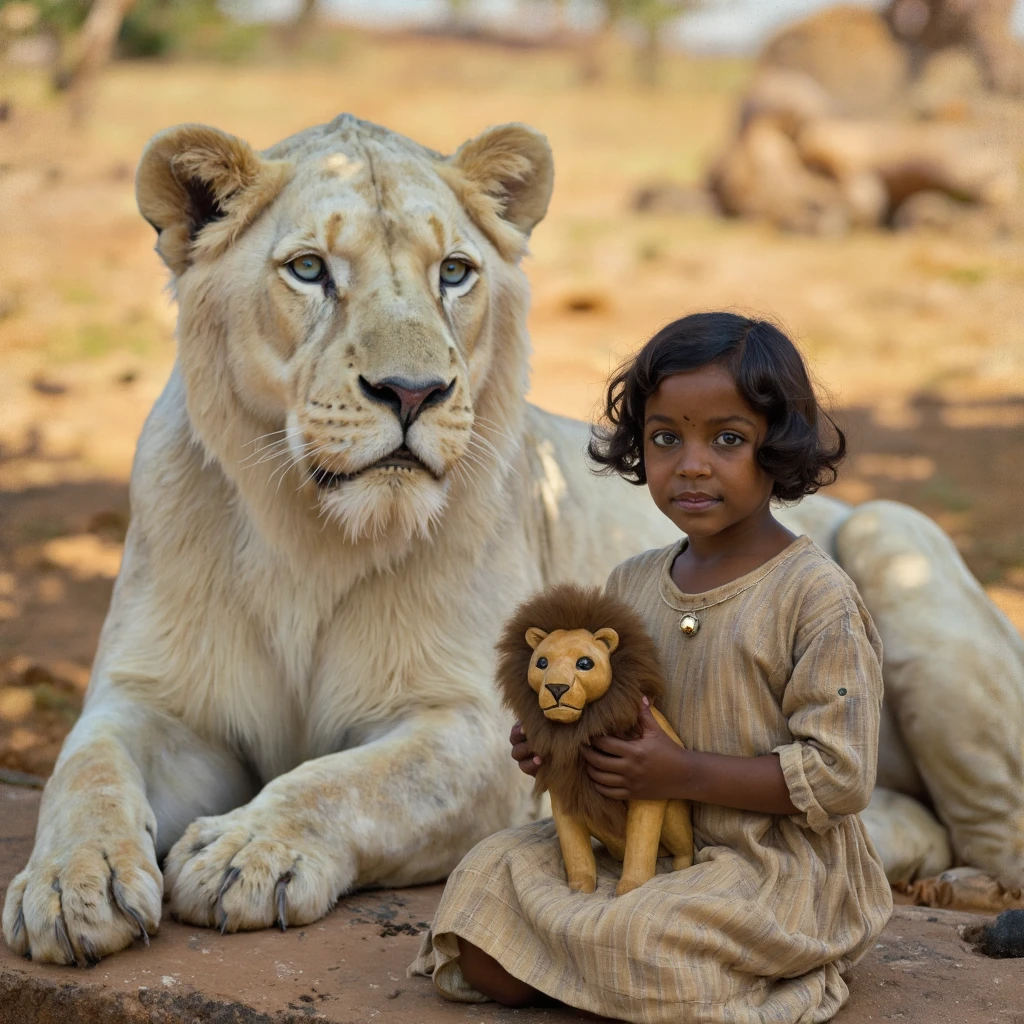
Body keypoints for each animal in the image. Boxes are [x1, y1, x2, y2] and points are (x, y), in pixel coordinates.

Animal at [2, 116, 1024, 962]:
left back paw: (964, 895)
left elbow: (351, 781)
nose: (412, 392)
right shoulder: (158, 700)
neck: (309, 531)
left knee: (991, 822)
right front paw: (70, 888)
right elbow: (84, 767)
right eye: (309, 270)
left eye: (454, 272)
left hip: (892, 532)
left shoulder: (474, 732)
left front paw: (247, 851)